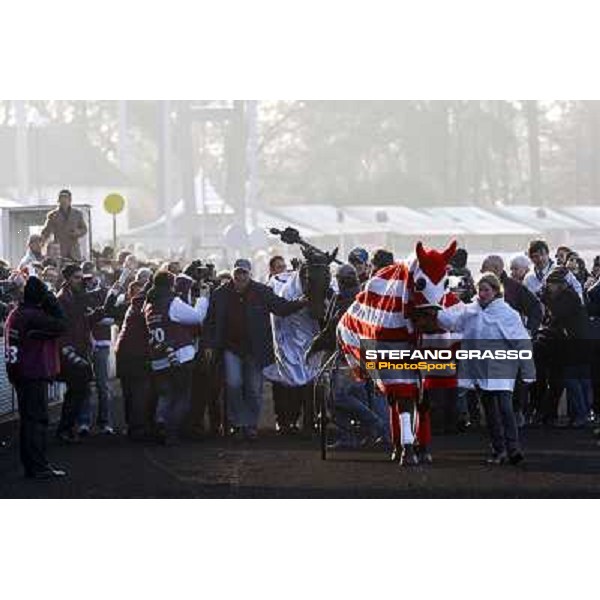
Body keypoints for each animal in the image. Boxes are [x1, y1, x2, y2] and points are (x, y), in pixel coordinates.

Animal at [338, 241, 460, 466]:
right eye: (420, 283)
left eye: (446, 282)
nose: (431, 321)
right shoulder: (393, 365)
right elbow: (403, 402)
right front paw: (408, 450)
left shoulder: (431, 363)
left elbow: (423, 403)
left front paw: (422, 449)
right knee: (393, 402)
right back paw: (397, 446)